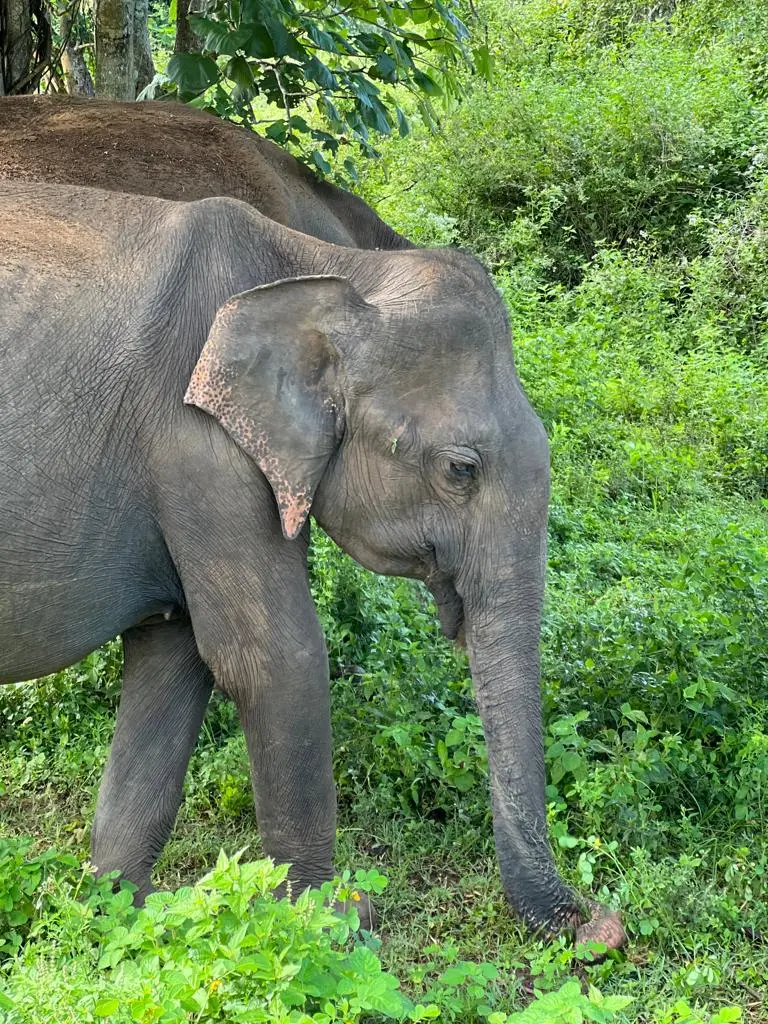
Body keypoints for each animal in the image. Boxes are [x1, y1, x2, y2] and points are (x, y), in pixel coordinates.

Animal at [0, 181, 625, 950]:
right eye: (461, 469)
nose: (602, 926)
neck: (335, 270)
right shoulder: (197, 442)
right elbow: (274, 657)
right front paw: (333, 923)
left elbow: (176, 656)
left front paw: (124, 914)